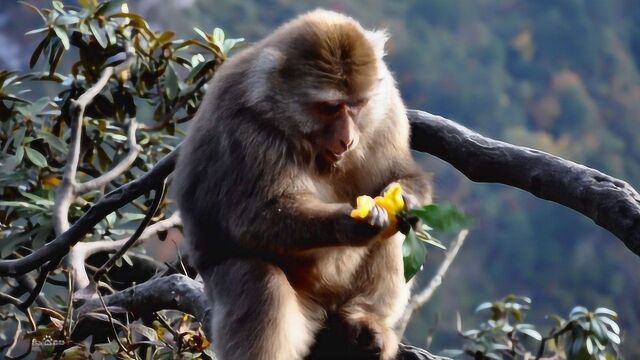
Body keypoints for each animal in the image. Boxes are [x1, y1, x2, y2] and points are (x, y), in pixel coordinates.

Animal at [172, 9, 432, 360]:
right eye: (329, 107)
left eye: (357, 105)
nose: (347, 139)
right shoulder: (247, 129)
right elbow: (255, 218)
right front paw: (349, 224)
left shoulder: (387, 107)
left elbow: (399, 175)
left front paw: (407, 200)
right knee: (260, 281)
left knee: (396, 234)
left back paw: (365, 320)